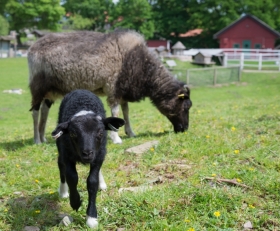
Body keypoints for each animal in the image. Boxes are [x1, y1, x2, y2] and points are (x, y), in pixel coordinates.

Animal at [29, 29, 192, 143]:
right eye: (185, 107)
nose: (184, 129)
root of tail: (33, 47)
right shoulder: (113, 87)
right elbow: (116, 112)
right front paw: (116, 138)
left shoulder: (123, 89)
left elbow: (126, 111)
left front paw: (130, 133)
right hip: (37, 86)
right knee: (35, 112)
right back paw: (37, 140)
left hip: (50, 91)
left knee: (44, 110)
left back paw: (44, 137)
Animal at [51, 89, 123, 228]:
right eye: (73, 133)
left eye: (100, 133)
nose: (87, 153)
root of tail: (80, 90)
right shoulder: (67, 155)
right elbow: (72, 178)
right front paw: (75, 202)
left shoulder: (99, 155)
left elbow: (92, 182)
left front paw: (91, 217)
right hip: (61, 147)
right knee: (60, 166)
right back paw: (63, 192)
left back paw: (102, 184)